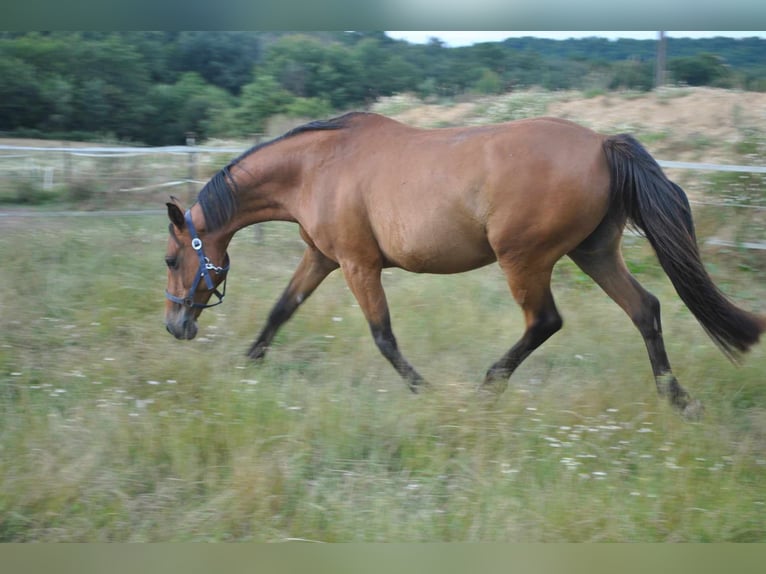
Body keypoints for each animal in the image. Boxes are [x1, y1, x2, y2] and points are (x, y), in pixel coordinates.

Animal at [164, 111, 766, 418]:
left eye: (171, 258)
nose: (176, 326)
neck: (318, 168)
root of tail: (602, 143)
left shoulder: (359, 265)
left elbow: (383, 337)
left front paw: (425, 392)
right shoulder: (321, 258)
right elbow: (280, 311)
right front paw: (247, 366)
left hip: (524, 259)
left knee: (545, 321)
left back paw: (485, 390)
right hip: (593, 253)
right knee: (646, 309)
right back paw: (677, 400)